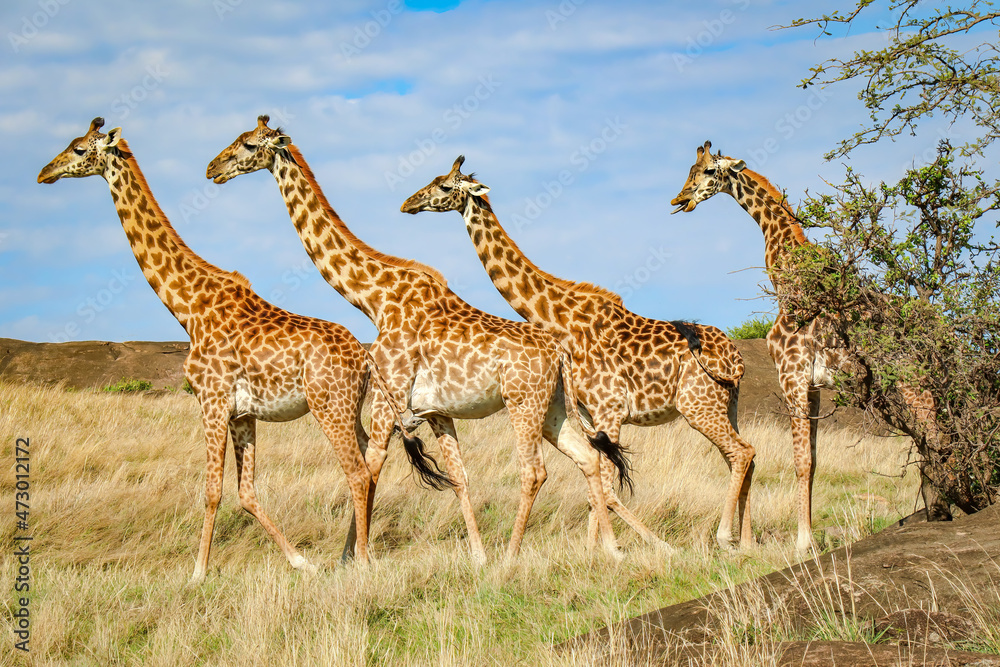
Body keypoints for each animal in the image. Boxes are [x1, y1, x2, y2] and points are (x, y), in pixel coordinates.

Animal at [37, 117, 451, 583]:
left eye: (78, 150)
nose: (44, 172)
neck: (188, 307)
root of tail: (363, 357)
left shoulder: (211, 400)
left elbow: (212, 490)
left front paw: (197, 573)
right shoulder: (242, 414)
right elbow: (246, 492)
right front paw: (301, 562)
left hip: (329, 406)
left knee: (359, 473)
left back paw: (362, 561)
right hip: (350, 408)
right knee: (368, 462)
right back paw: (355, 554)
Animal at [205, 116, 631, 563]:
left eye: (248, 145)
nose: (212, 168)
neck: (375, 299)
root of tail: (559, 353)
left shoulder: (386, 398)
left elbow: (369, 469)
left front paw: (355, 559)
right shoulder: (433, 410)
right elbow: (457, 477)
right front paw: (475, 556)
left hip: (523, 402)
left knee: (535, 470)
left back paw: (512, 557)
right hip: (553, 406)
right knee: (589, 457)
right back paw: (611, 550)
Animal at [401, 156, 757, 552]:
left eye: (446, 186)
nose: (408, 203)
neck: (561, 320)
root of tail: (736, 357)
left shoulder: (609, 410)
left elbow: (605, 484)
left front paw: (629, 549)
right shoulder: (589, 414)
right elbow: (595, 484)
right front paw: (595, 552)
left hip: (699, 405)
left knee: (741, 453)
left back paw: (725, 537)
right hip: (727, 406)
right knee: (745, 456)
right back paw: (749, 542)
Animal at [670, 140, 946, 553]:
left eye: (708, 171)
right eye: (689, 170)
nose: (680, 199)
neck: (787, 276)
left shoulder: (792, 376)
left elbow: (799, 460)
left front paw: (802, 542)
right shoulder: (813, 386)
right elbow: (813, 462)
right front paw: (810, 535)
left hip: (911, 380)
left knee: (935, 436)